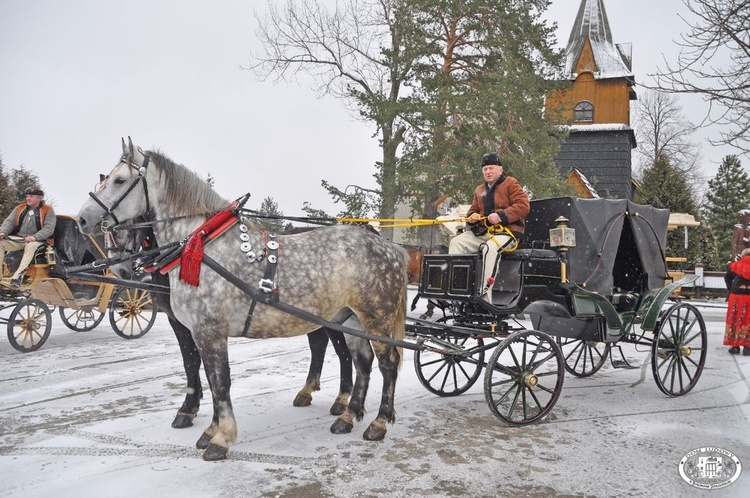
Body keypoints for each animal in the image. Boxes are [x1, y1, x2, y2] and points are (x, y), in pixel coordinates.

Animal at [103, 219, 358, 428]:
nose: (119, 268)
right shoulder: (184, 320)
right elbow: (193, 362)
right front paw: (196, 406)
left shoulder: (187, 322)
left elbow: (193, 362)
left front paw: (189, 409)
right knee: (318, 344)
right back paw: (309, 391)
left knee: (341, 351)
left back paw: (341, 399)